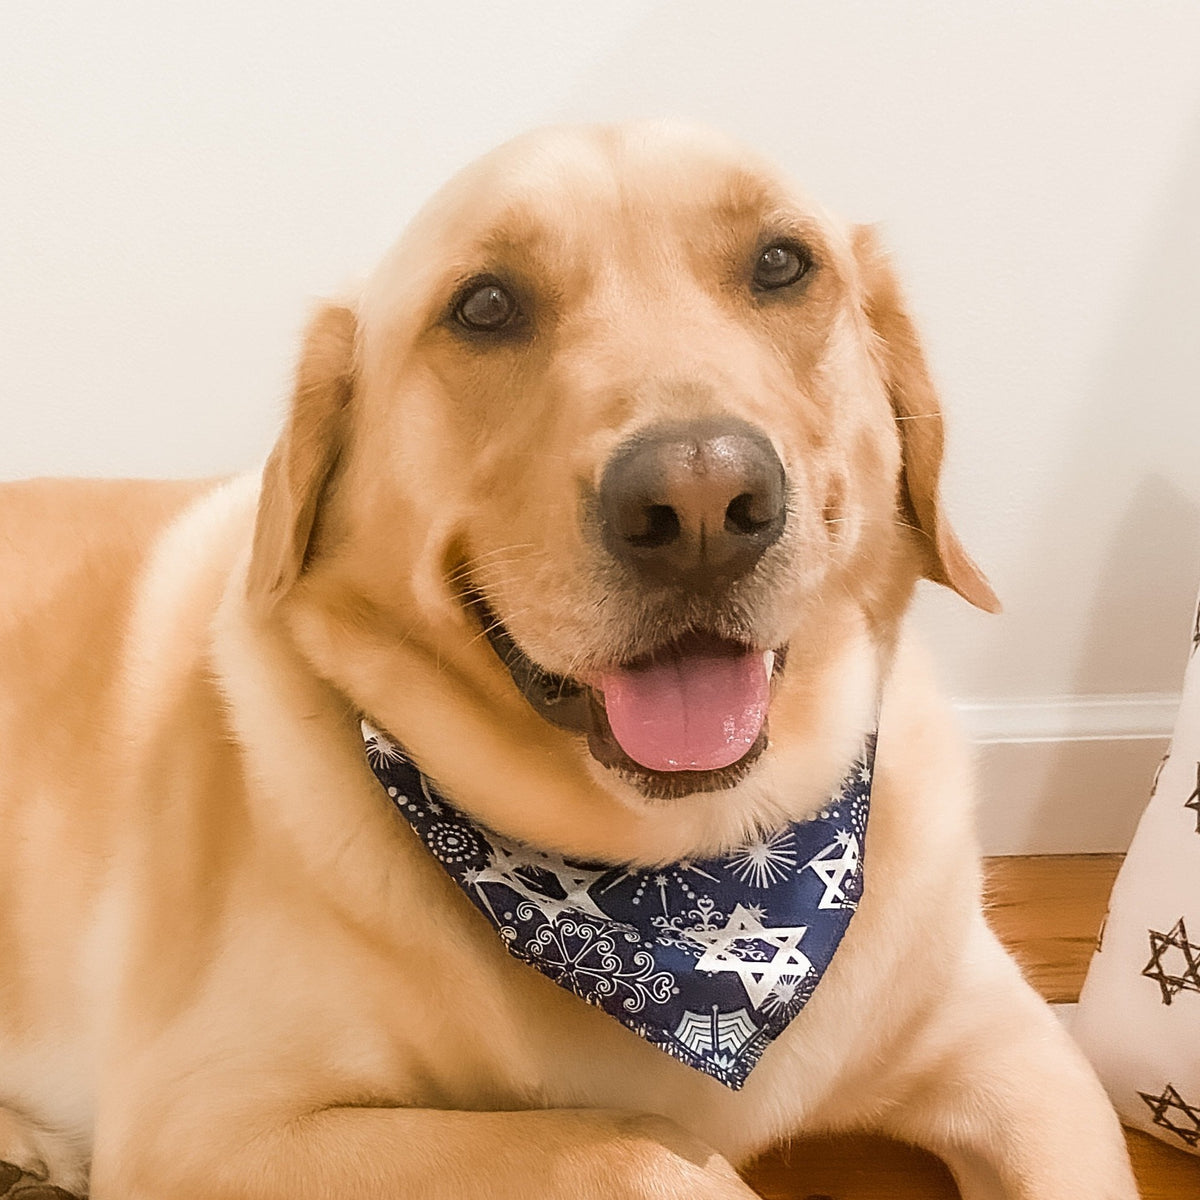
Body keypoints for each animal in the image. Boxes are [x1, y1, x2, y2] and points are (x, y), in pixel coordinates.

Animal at [0, 124, 1132, 1200]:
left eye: (781, 263)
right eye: (487, 305)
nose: (701, 503)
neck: (687, 883)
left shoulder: (1019, 1056)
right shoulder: (206, 1130)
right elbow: (636, 1151)